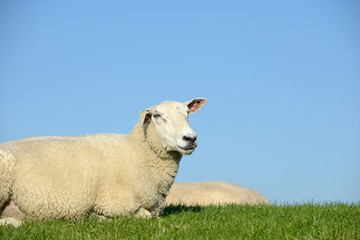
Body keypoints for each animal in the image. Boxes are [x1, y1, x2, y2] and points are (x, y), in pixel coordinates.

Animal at [0, 97, 207, 227]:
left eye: (188, 113)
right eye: (157, 116)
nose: (190, 138)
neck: (138, 152)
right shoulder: (117, 203)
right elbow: (144, 216)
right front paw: (97, 218)